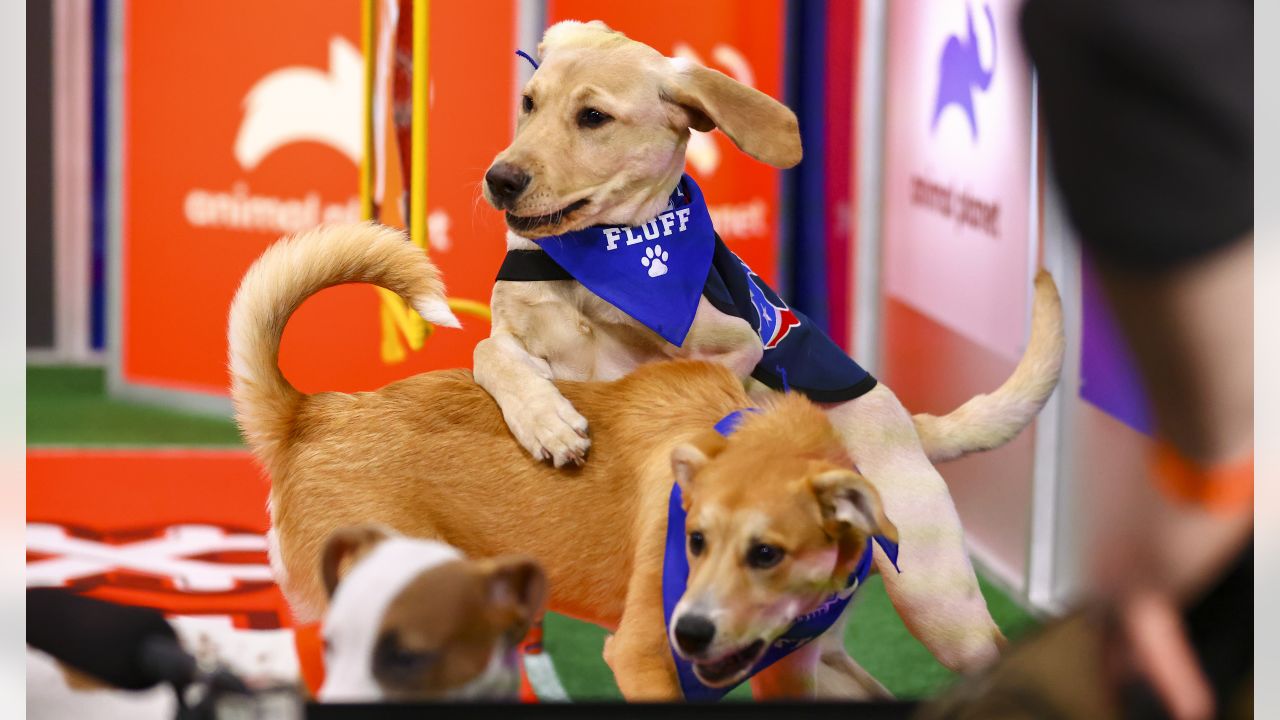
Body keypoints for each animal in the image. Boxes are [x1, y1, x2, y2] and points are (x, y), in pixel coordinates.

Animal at [476, 18, 1064, 676]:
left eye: (594, 117)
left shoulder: (733, 347)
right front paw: (545, 420)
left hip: (939, 603)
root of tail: (910, 427)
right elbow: (489, 356)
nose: (500, 180)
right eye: (529, 102)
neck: (594, 260)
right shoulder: (510, 334)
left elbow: (667, 385)